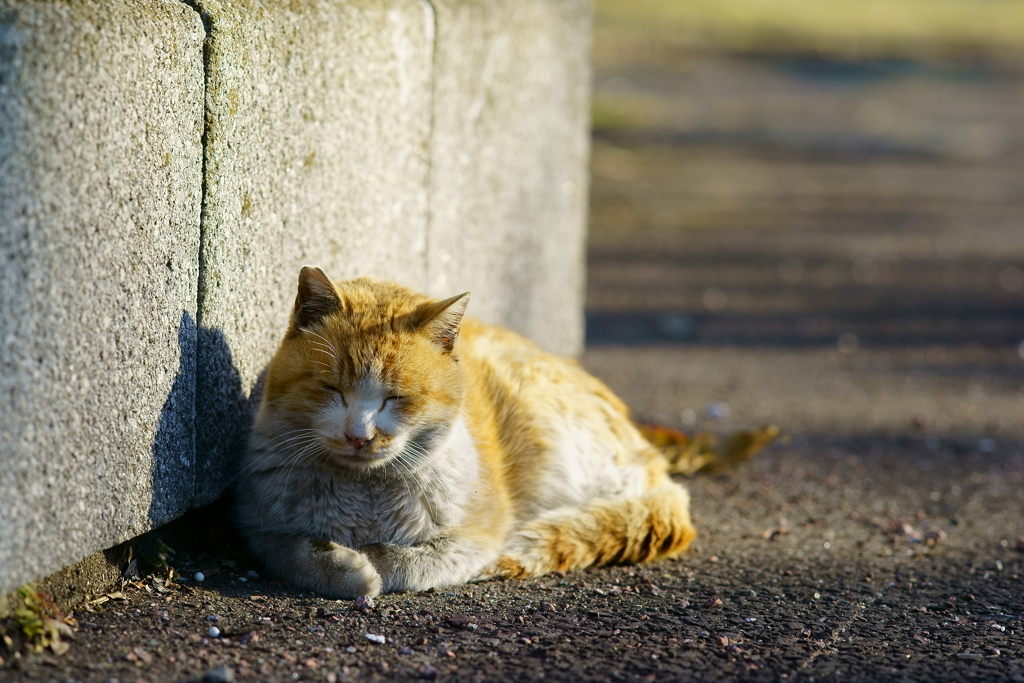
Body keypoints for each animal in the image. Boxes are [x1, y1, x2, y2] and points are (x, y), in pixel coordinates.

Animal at [234, 266, 696, 598]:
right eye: (332, 389)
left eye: (395, 398)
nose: (358, 436)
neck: (364, 493)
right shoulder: (261, 531)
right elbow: (298, 552)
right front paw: (347, 568)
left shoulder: (477, 537)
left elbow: (402, 561)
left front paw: (370, 563)